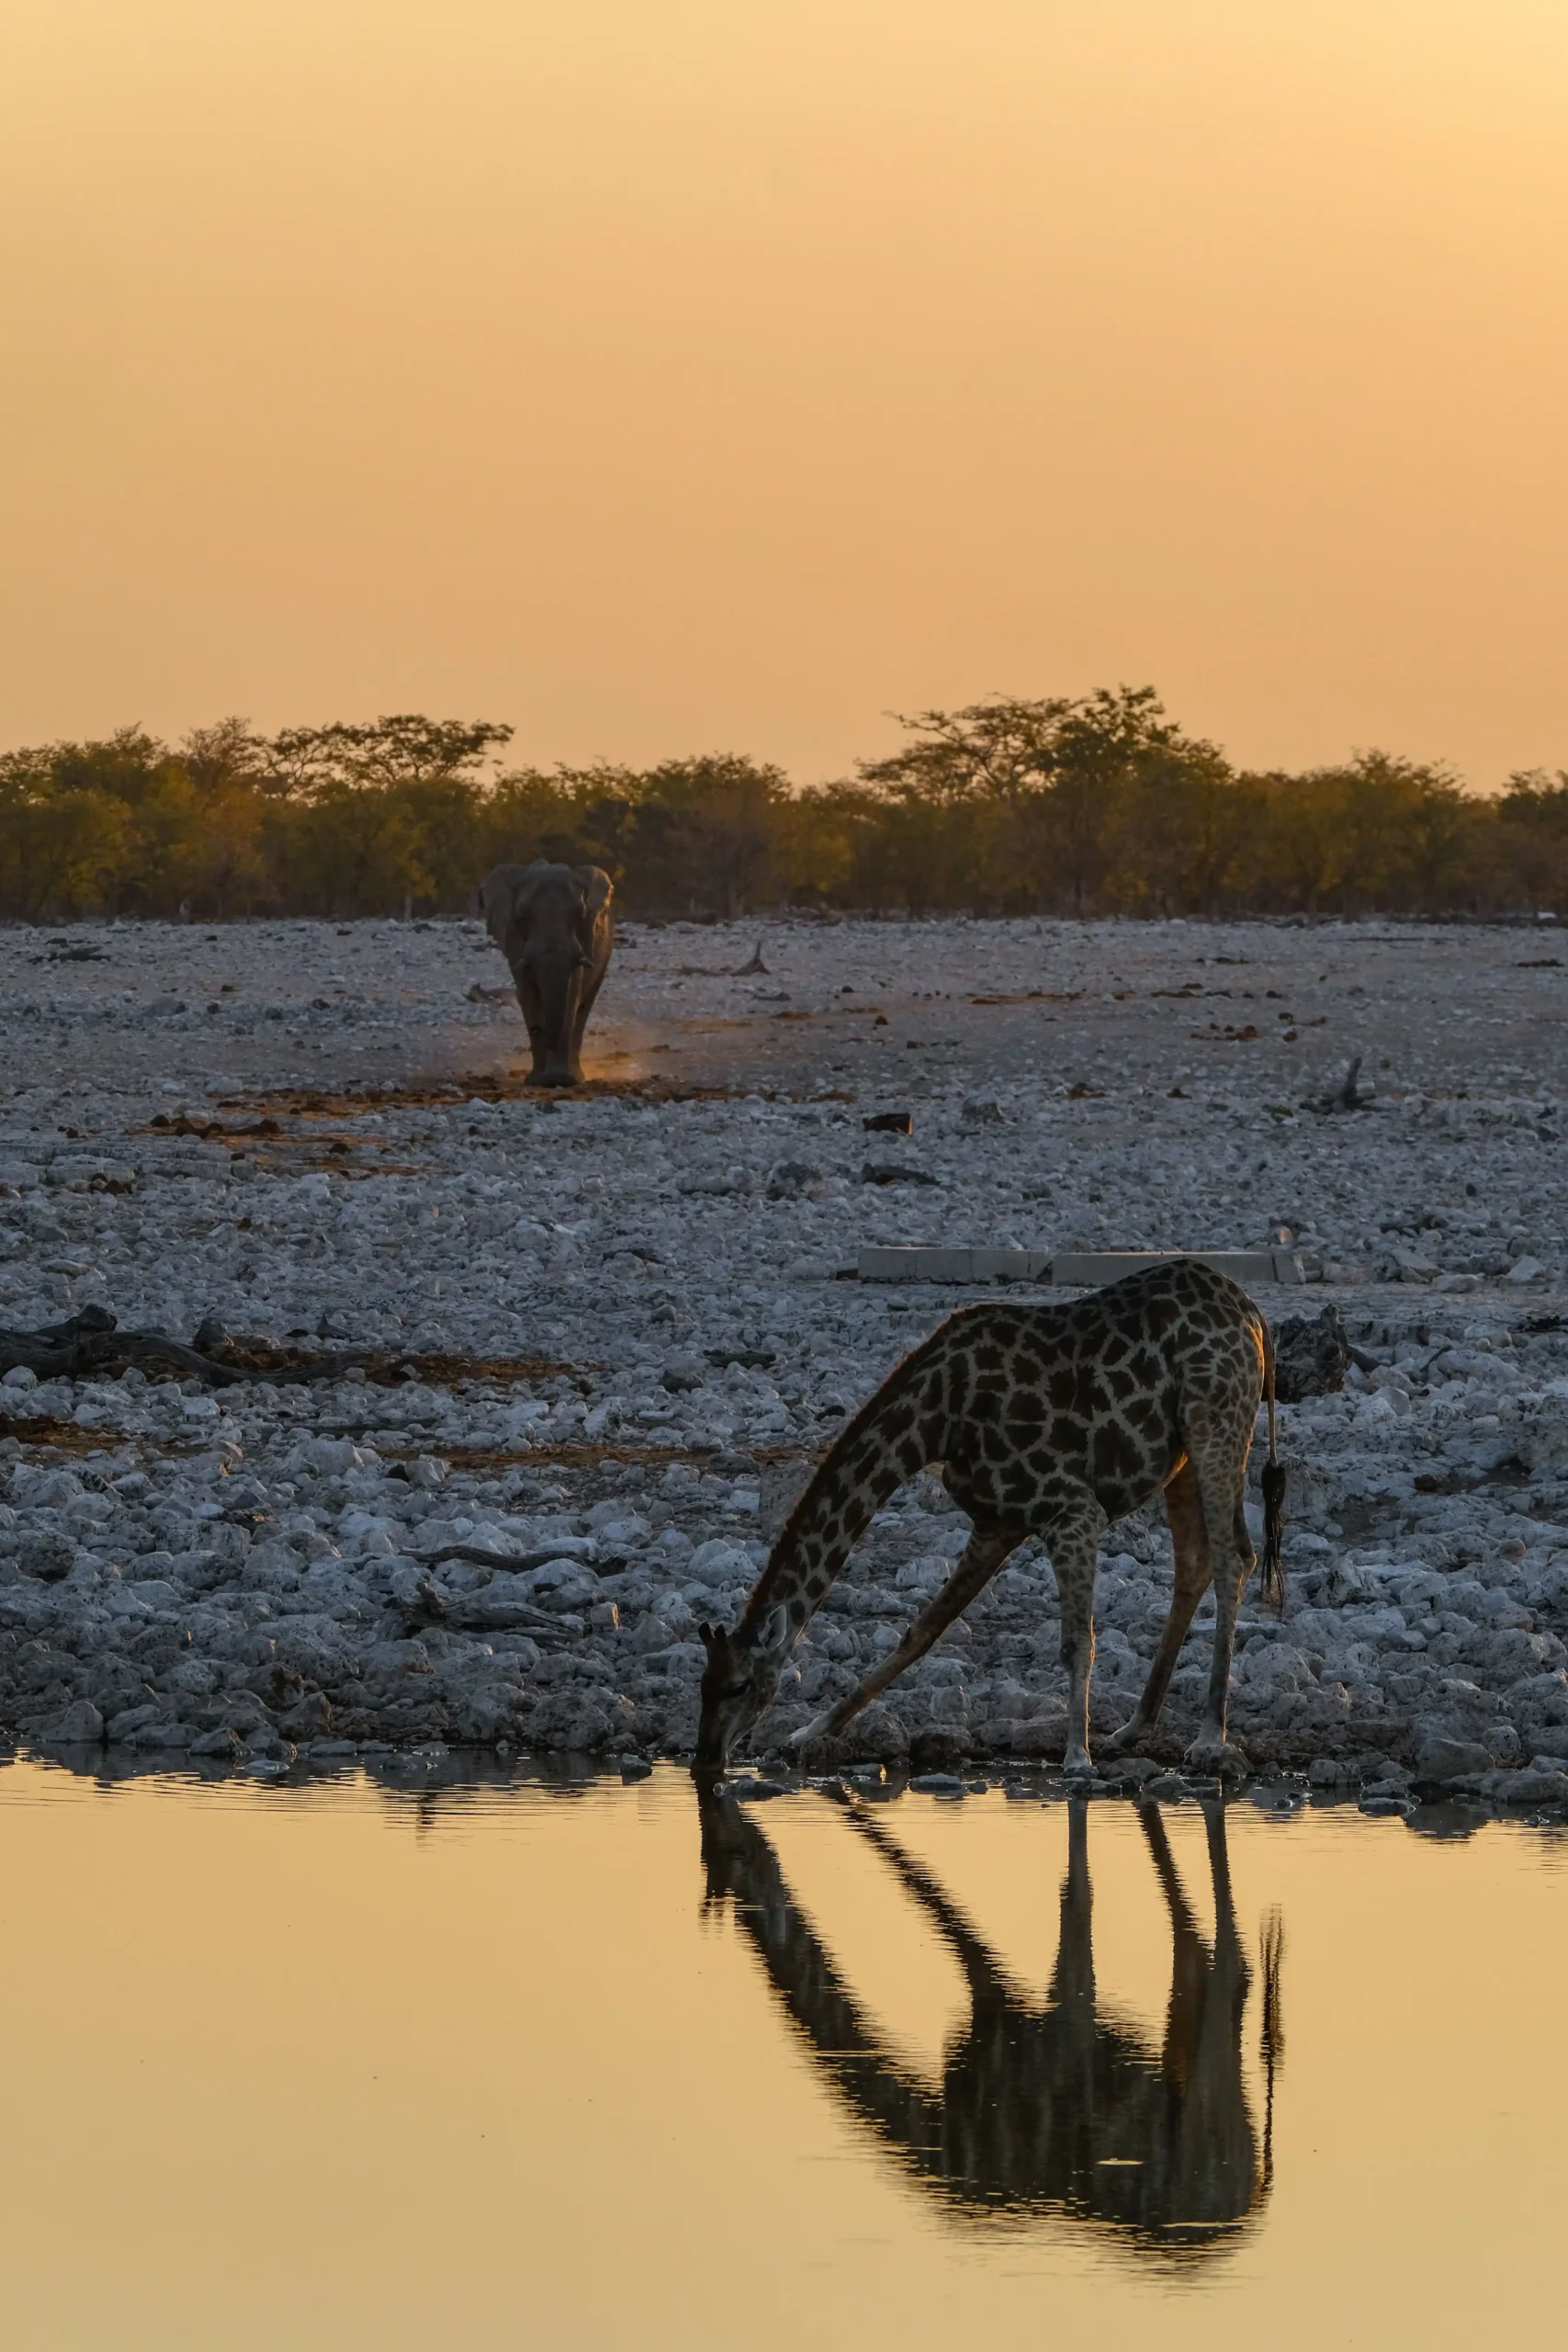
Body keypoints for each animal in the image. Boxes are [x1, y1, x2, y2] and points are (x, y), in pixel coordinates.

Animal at [479, 861, 614, 1086]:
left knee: (584, 1005)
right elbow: (528, 992)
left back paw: (577, 1075)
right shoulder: (514, 941)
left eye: (580, 916)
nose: (539, 1030)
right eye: (522, 917)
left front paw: (561, 1079)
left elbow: (572, 993)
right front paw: (538, 1080)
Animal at [695, 1258, 1285, 1776]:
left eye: (739, 1685)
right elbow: (922, 1631)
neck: (936, 1422)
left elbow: (1077, 1642)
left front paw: (1077, 1758)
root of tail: (1254, 1315)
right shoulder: (997, 1523)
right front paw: (811, 1731)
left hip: (1216, 1421)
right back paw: (1134, 1727)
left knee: (1234, 1558)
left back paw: (1209, 1735)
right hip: (1181, 1451)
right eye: (703, 1682)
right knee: (1196, 1561)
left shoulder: (1072, 1511)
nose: (705, 1757)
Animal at [697, 1781, 1284, 2255]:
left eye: (729, 1855)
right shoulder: (1000, 2006)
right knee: (1213, 1971)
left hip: (1206, 2080)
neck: (939, 2134)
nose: (713, 1761)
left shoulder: (1043, 2024)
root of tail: (1251, 2196)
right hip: (1187, 2052)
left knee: (1229, 1967)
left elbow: (1065, 1899)